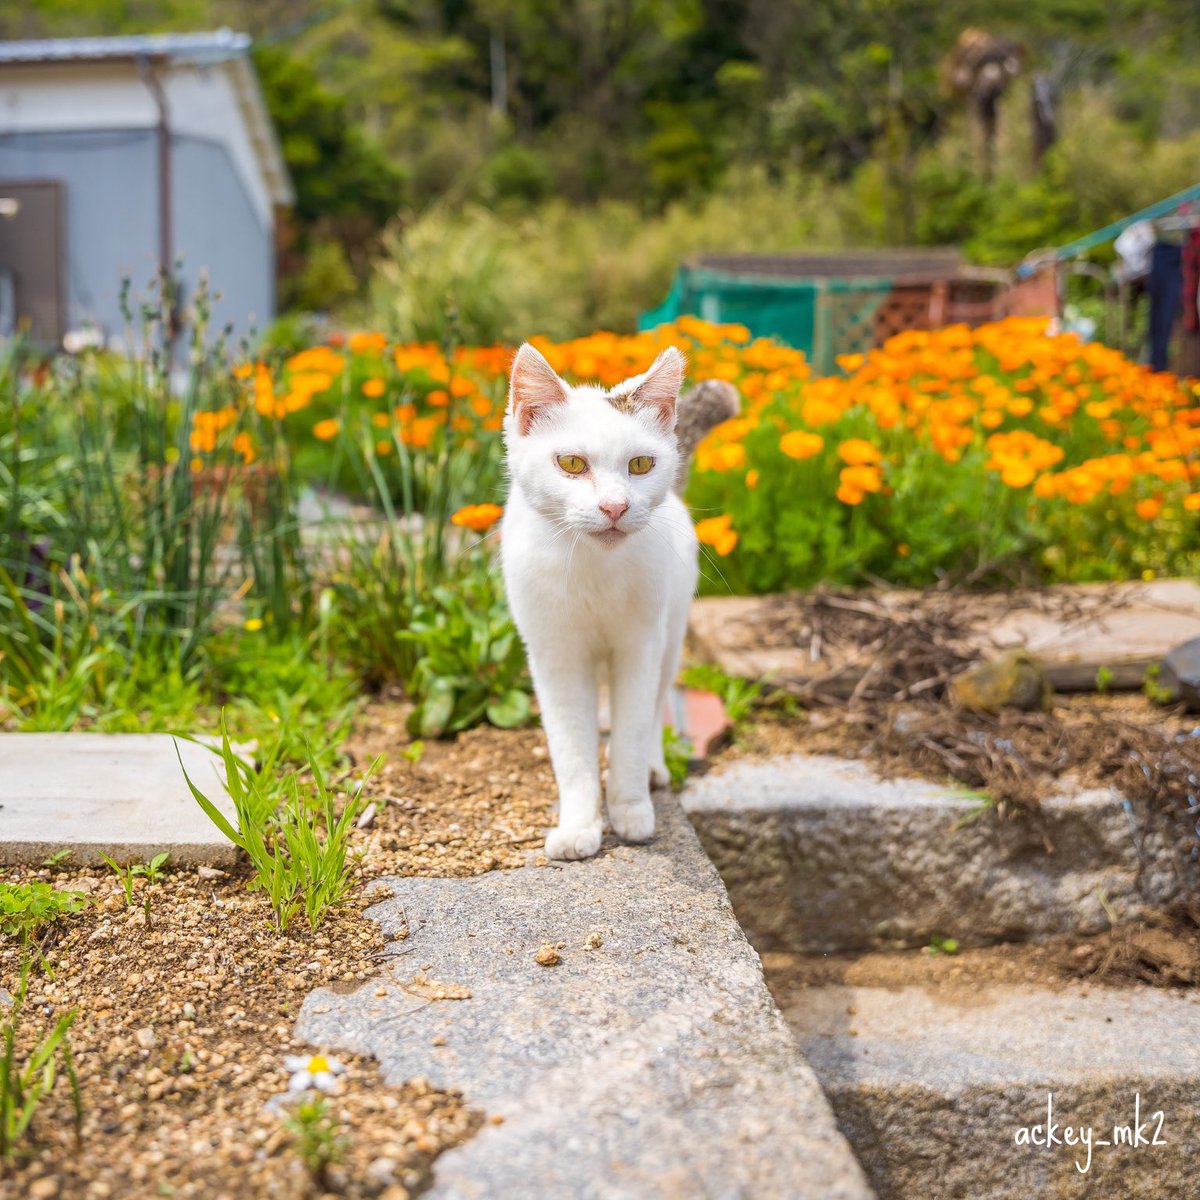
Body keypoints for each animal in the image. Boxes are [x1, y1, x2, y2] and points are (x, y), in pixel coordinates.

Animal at [501, 343, 700, 859]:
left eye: (641, 465)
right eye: (571, 464)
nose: (615, 507)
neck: (593, 568)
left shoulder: (640, 645)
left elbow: (632, 731)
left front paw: (631, 811)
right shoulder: (554, 654)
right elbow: (572, 748)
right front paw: (579, 826)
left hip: (672, 634)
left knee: (655, 706)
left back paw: (653, 770)